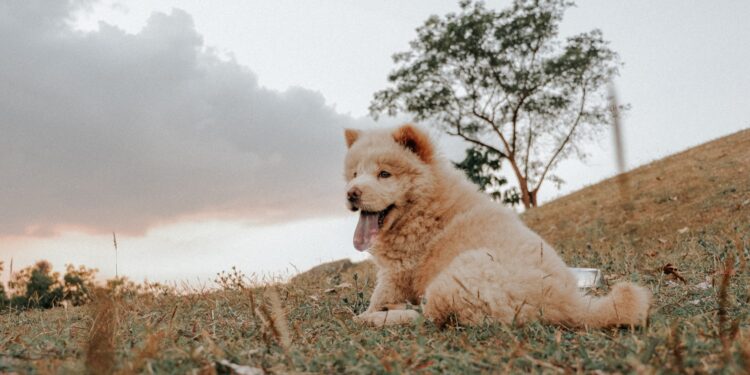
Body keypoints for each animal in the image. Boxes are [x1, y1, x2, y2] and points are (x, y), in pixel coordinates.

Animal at [346, 125, 652, 328]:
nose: (351, 193)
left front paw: (366, 312)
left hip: (459, 277)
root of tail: (571, 303)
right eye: (355, 174)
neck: (425, 204)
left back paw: (376, 318)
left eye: (384, 174)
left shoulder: (397, 272)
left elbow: (377, 296)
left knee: (429, 318)